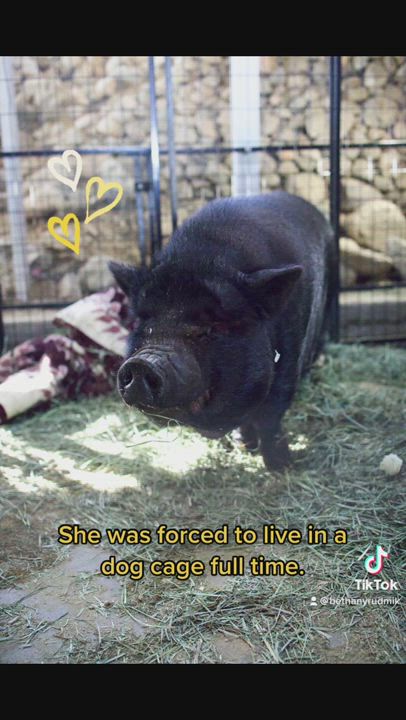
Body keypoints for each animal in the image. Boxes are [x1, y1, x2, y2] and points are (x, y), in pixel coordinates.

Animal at [109, 191, 336, 470]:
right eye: (145, 322)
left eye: (211, 326)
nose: (142, 363)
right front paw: (245, 447)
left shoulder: (287, 361)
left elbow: (271, 417)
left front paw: (282, 467)